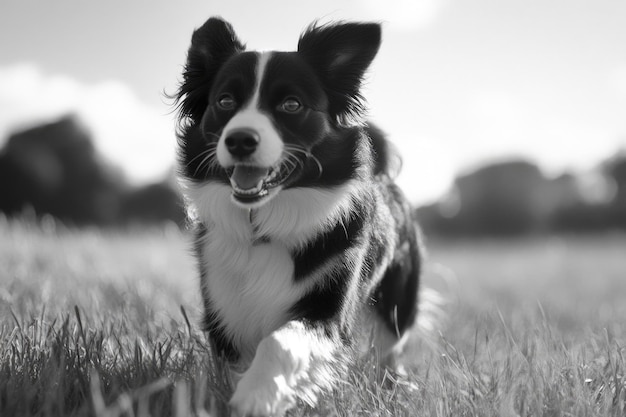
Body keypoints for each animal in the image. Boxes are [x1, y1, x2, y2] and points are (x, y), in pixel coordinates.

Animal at [173, 17, 422, 416]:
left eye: (291, 104)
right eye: (225, 101)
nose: (239, 140)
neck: (262, 223)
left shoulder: (328, 310)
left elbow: (281, 341)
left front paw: (257, 394)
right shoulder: (223, 305)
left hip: (398, 300)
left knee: (391, 346)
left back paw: (396, 387)